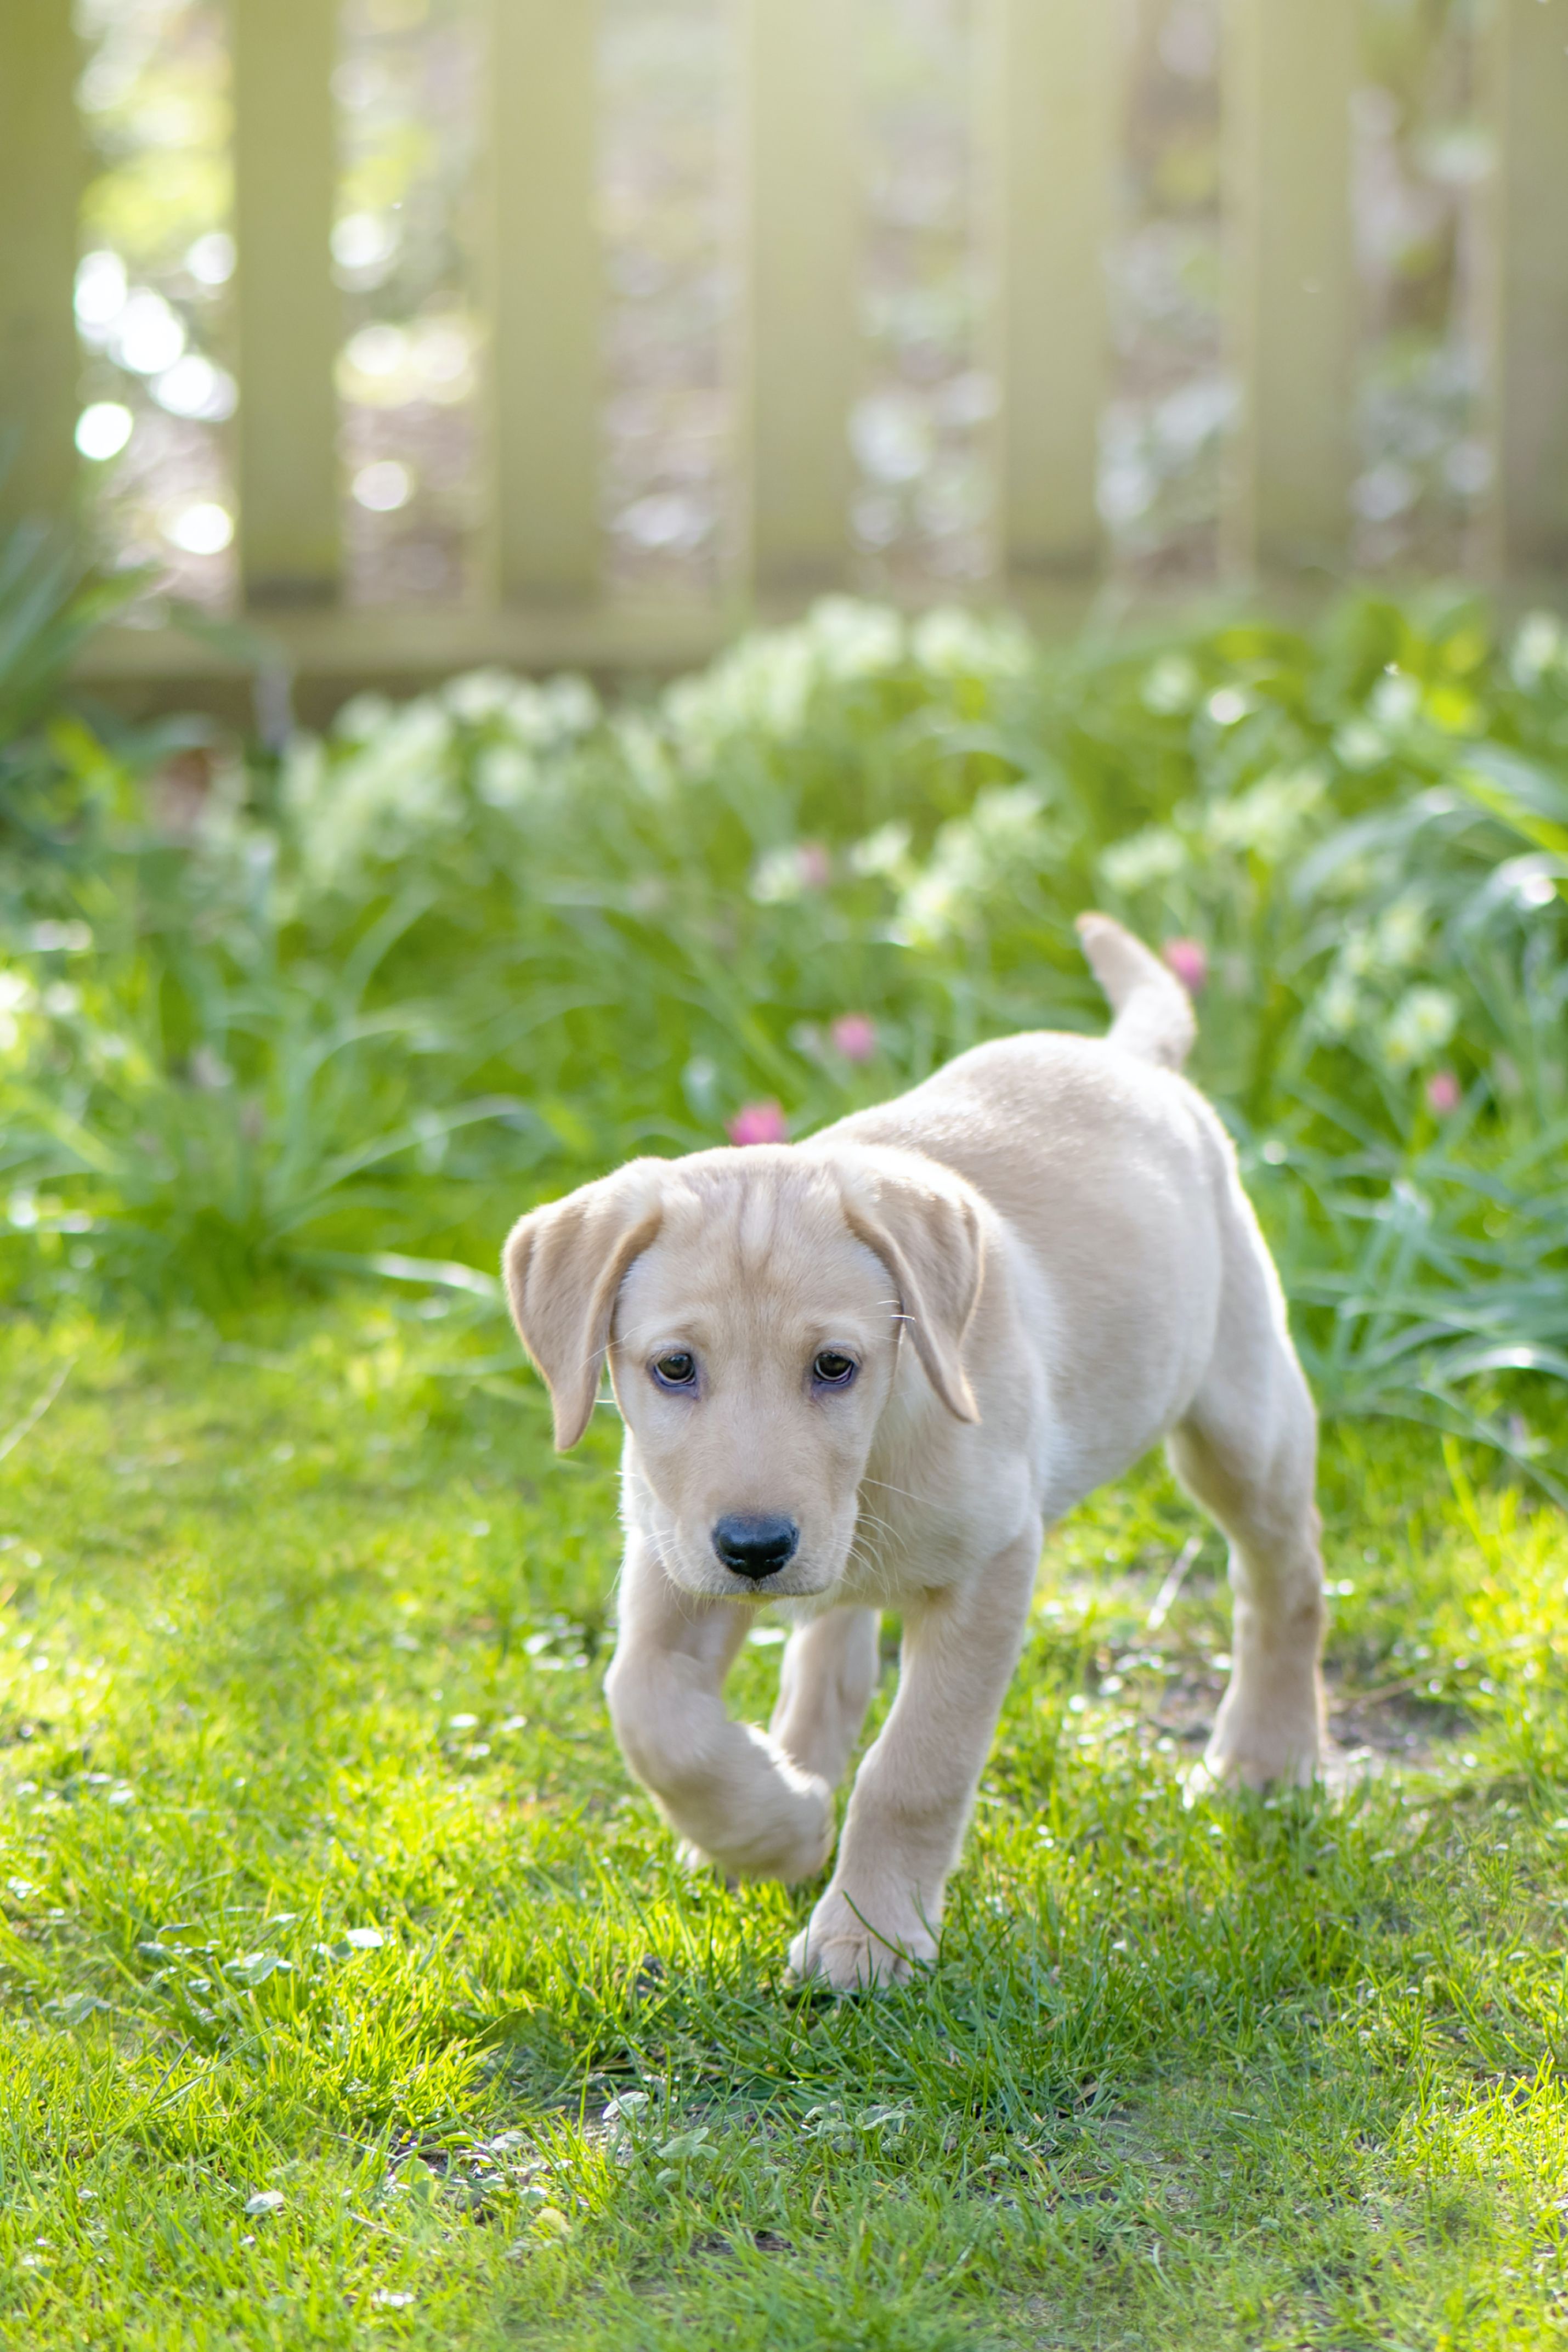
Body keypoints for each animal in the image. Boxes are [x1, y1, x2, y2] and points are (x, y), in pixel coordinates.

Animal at [503, 917, 1326, 1985]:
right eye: (673, 1367)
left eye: (835, 1366)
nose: (757, 1548)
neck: (883, 1445)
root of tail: (1128, 1059)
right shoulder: (671, 1546)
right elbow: (648, 1708)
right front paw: (772, 1828)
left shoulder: (989, 1566)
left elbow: (914, 1765)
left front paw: (867, 1934)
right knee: (830, 1644)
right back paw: (795, 1764)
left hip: (1241, 1417)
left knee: (1282, 1578)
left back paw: (1266, 1756)